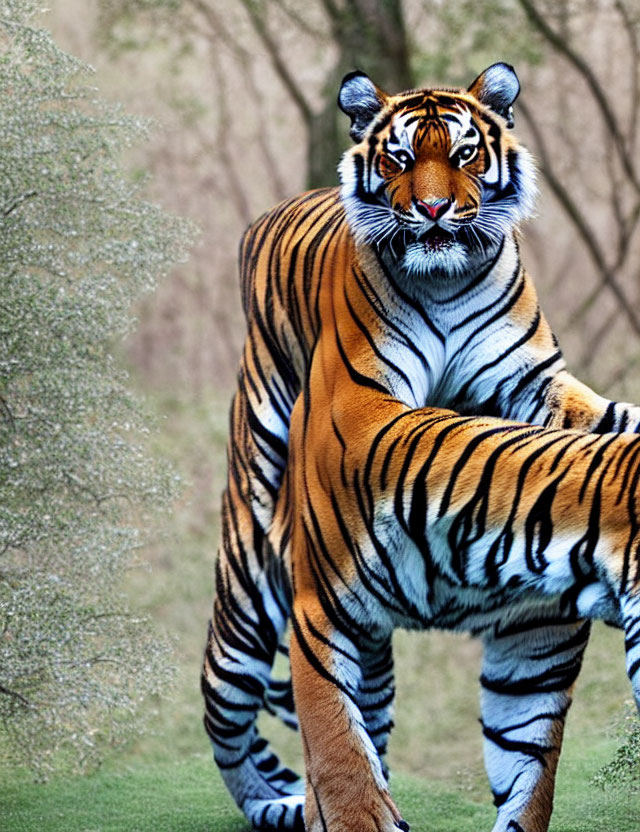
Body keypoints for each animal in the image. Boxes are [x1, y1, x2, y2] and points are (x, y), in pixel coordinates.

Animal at [202, 65, 640, 832]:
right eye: (400, 159)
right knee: (228, 717)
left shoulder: (532, 381)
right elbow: (341, 767)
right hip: (248, 600)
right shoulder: (357, 404)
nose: (434, 210)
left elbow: (527, 773)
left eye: (464, 154)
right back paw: (274, 801)